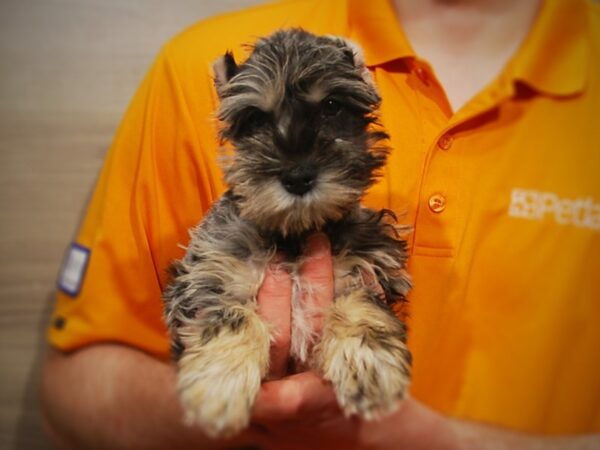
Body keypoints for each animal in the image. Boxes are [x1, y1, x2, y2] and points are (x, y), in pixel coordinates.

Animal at [164, 27, 412, 436]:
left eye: (332, 105)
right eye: (254, 119)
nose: (297, 176)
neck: (294, 235)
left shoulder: (365, 266)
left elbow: (359, 302)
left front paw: (369, 364)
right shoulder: (207, 274)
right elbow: (228, 314)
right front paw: (219, 384)